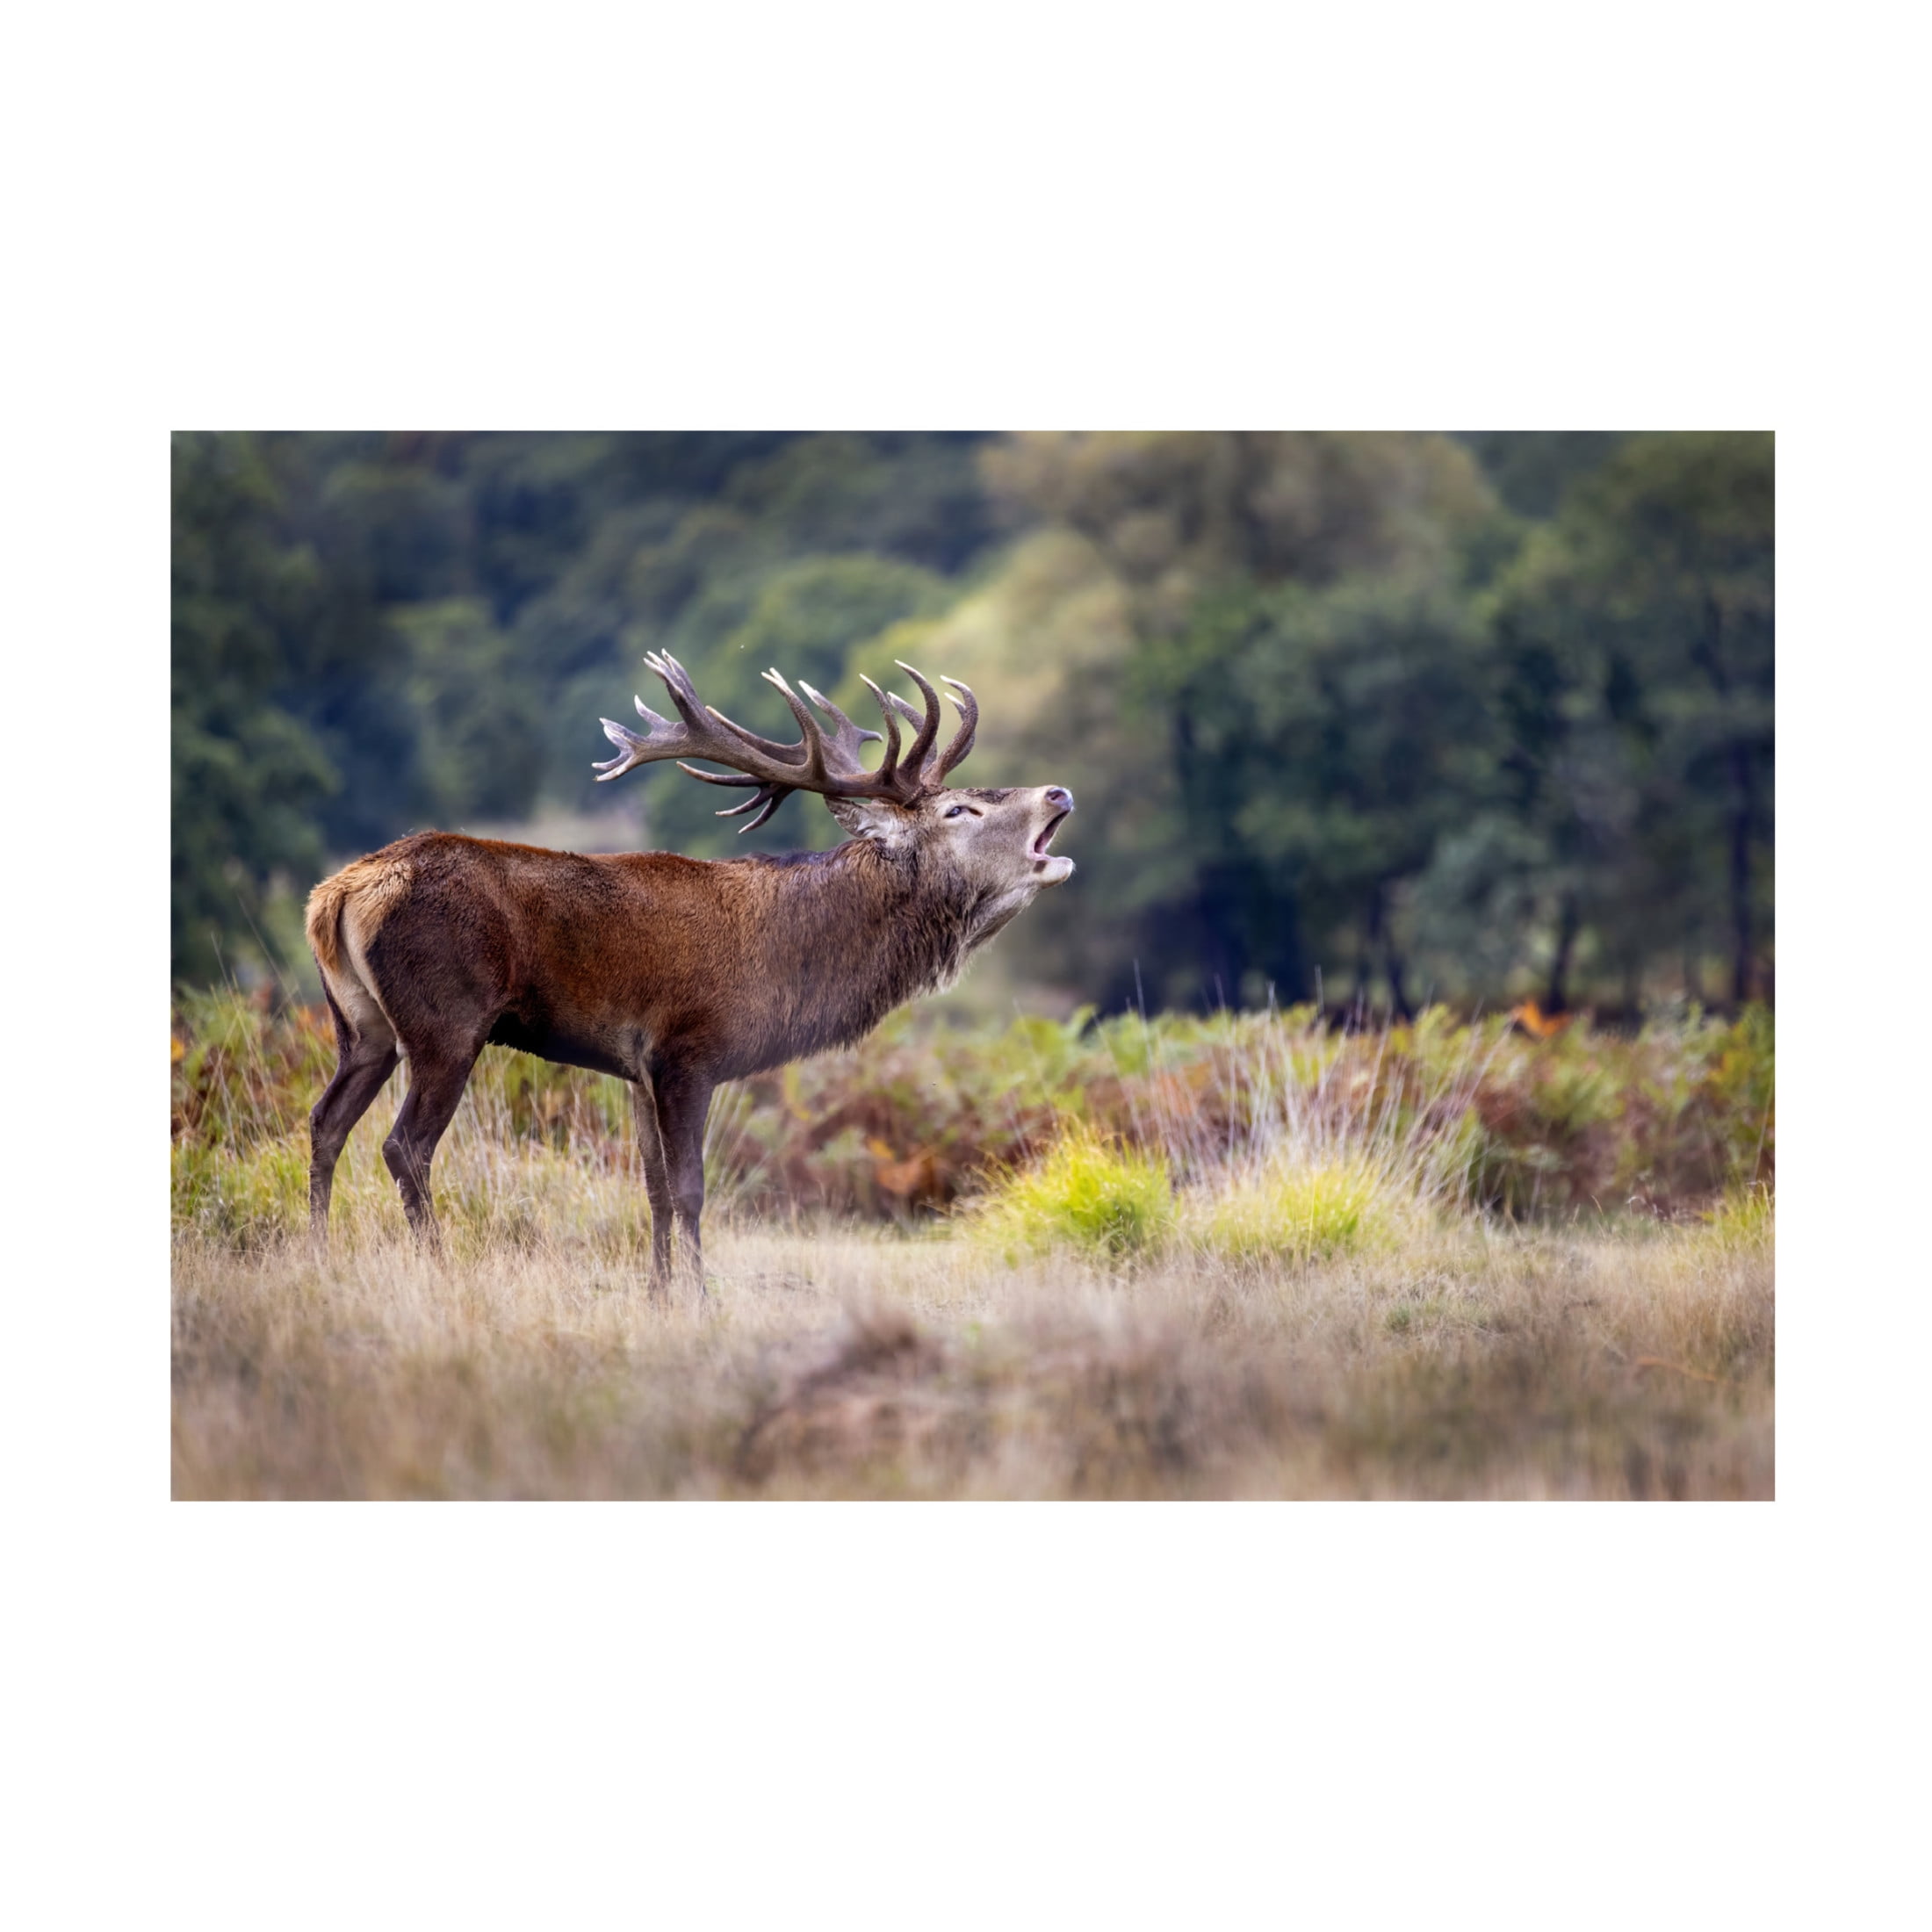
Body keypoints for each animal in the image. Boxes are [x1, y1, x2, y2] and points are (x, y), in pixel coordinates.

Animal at [303, 653, 1075, 1291]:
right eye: (957, 809)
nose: (1059, 793)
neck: (790, 961)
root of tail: (337, 894)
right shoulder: (687, 1052)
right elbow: (689, 1189)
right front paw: (702, 1297)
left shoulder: (635, 1068)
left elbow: (650, 1189)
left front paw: (659, 1293)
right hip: (447, 1021)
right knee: (404, 1146)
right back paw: (435, 1264)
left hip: (361, 1027)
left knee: (325, 1122)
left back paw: (319, 1254)